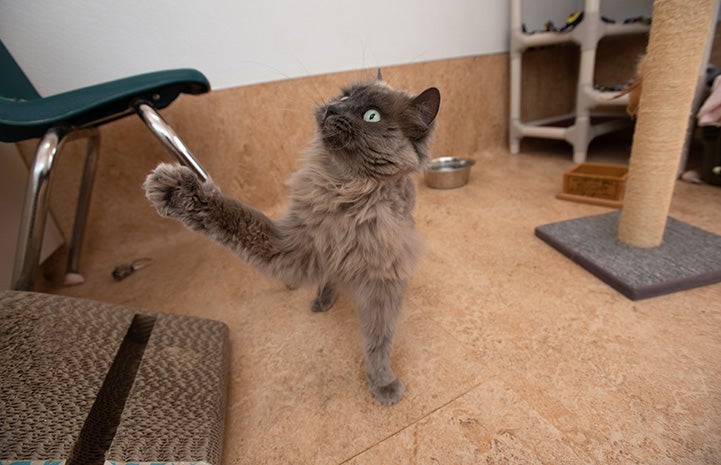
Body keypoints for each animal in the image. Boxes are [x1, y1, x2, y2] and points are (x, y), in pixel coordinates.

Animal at [143, 74, 438, 404]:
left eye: (371, 116)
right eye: (344, 97)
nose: (333, 109)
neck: (345, 192)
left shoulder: (383, 282)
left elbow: (379, 340)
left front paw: (383, 382)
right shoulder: (291, 248)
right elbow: (231, 215)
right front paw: (176, 189)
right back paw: (322, 299)